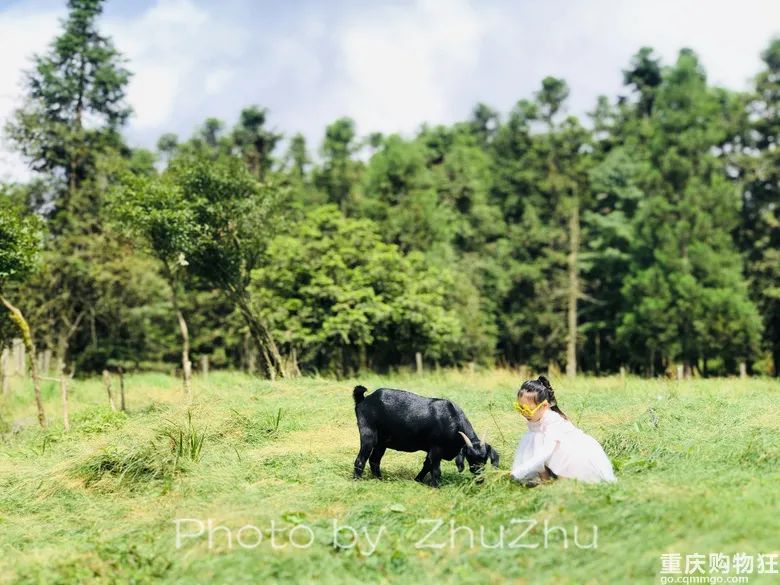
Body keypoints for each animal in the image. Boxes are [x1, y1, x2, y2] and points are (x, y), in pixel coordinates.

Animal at [350, 386, 496, 486]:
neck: (453, 420)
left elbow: (427, 465)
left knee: (374, 460)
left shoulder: (431, 449)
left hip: (382, 442)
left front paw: (418, 480)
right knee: (361, 460)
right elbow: (435, 469)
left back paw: (380, 480)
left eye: (485, 458)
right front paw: (436, 486)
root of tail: (364, 400)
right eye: (469, 456)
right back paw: (356, 481)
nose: (480, 479)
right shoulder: (436, 448)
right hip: (368, 435)